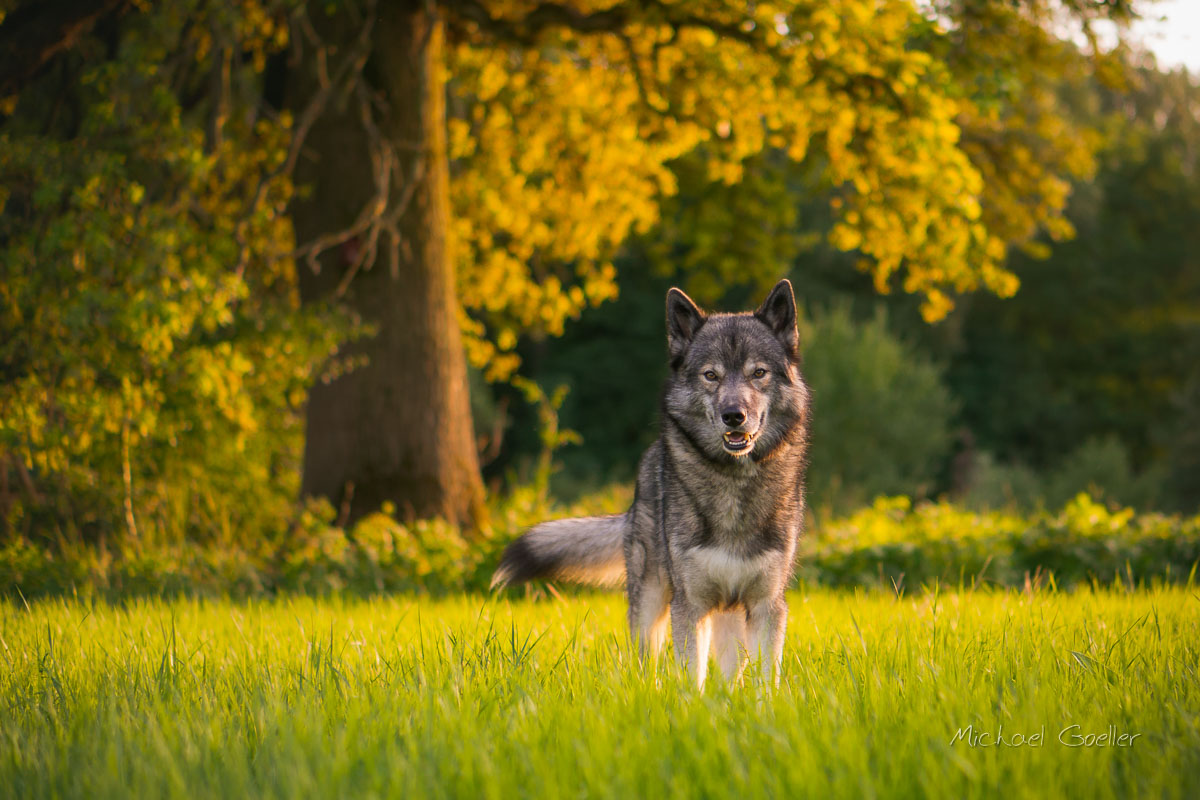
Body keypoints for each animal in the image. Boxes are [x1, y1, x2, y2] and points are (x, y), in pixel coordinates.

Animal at [492, 281, 811, 690]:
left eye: (758, 373)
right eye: (711, 376)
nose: (734, 416)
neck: (733, 485)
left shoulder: (766, 606)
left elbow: (764, 683)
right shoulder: (688, 604)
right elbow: (693, 678)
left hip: (728, 614)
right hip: (651, 602)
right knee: (646, 661)